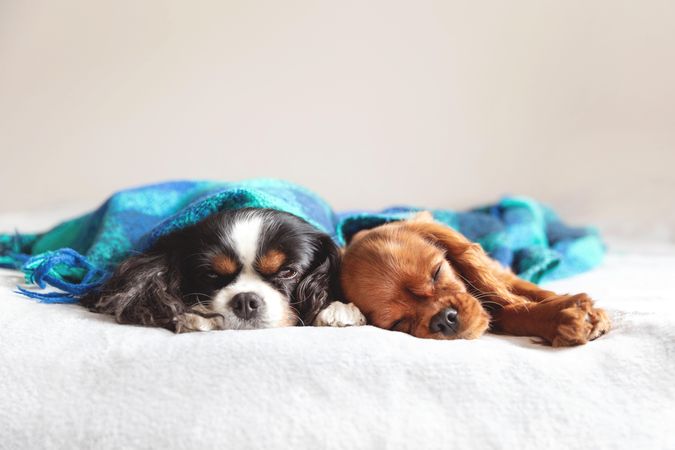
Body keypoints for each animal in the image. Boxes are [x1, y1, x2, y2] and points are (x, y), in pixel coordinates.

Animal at [340, 213, 608, 346]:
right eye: (397, 322)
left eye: (437, 272)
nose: (443, 320)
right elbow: (513, 313)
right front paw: (563, 318)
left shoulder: (499, 272)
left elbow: (522, 291)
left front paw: (570, 305)